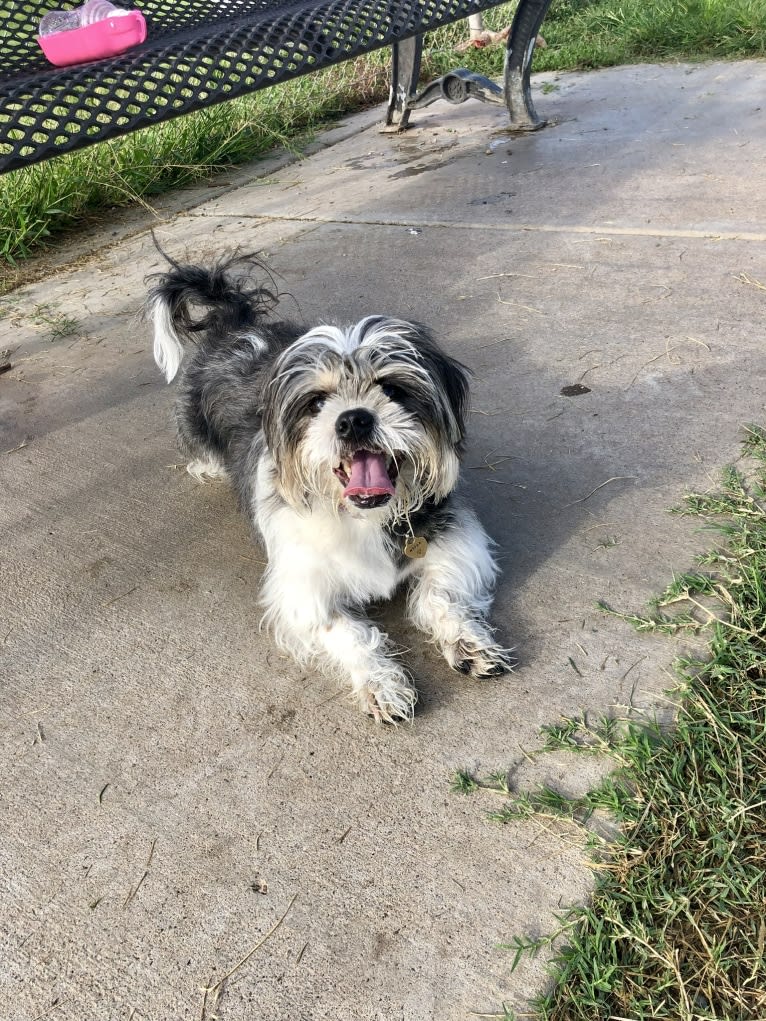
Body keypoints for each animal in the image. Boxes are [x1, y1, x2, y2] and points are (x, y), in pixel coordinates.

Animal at [147, 251, 512, 722]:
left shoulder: (454, 541)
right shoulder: (303, 588)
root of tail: (236, 325)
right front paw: (381, 684)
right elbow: (347, 632)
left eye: (392, 389)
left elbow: (441, 596)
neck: (363, 516)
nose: (354, 419)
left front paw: (468, 643)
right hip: (194, 427)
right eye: (317, 402)